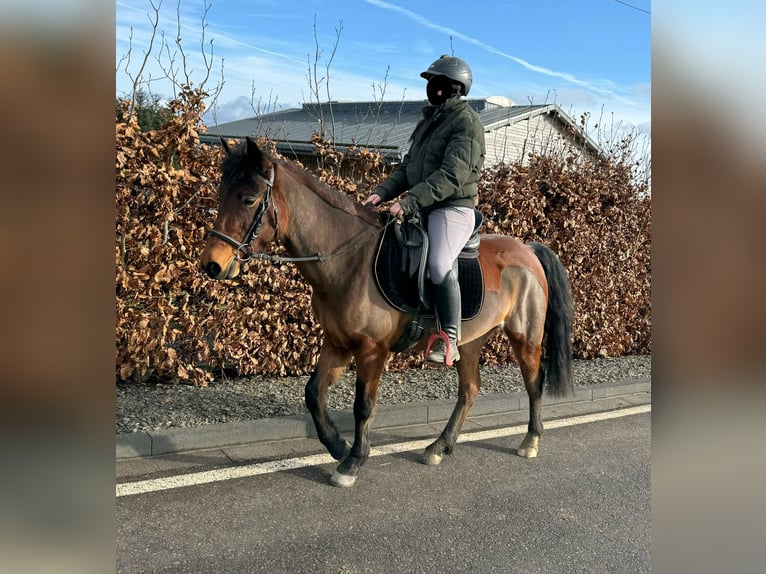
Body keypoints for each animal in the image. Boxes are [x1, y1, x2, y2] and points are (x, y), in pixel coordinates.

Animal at [201, 137, 572, 488]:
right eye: (222, 194)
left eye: (249, 199)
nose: (212, 265)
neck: (350, 259)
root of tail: (528, 249)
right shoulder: (337, 344)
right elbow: (313, 395)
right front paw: (337, 445)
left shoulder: (371, 350)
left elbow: (363, 405)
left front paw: (352, 462)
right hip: (469, 342)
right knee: (469, 390)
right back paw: (439, 447)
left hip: (525, 338)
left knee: (533, 384)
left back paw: (530, 441)